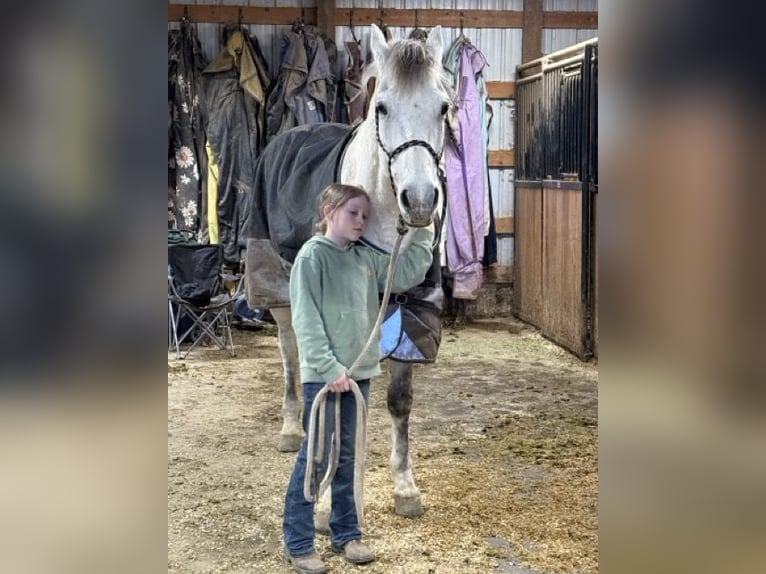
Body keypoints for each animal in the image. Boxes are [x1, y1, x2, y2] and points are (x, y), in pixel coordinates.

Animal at [244, 24, 450, 520]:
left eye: (444, 106)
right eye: (381, 107)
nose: (419, 201)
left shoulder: (411, 310)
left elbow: (398, 400)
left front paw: (405, 487)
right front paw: (324, 501)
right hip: (278, 288)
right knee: (290, 353)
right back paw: (292, 428)